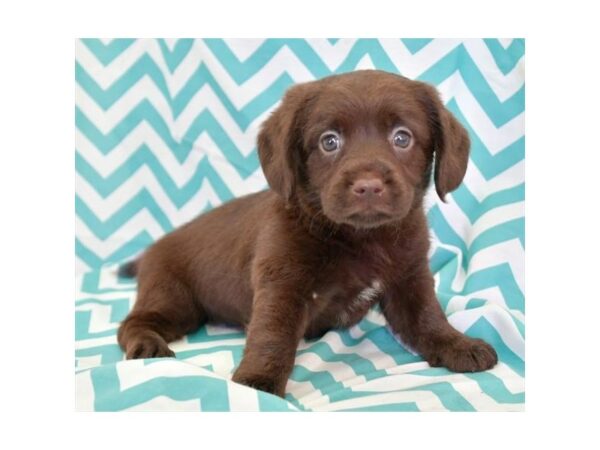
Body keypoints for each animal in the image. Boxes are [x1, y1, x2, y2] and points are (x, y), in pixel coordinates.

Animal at [116, 70, 496, 398]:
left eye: (402, 137)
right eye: (329, 142)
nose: (368, 186)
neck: (361, 237)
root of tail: (153, 248)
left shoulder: (409, 278)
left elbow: (428, 318)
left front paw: (458, 344)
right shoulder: (283, 285)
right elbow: (272, 336)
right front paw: (257, 382)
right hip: (173, 297)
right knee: (132, 323)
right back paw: (148, 345)